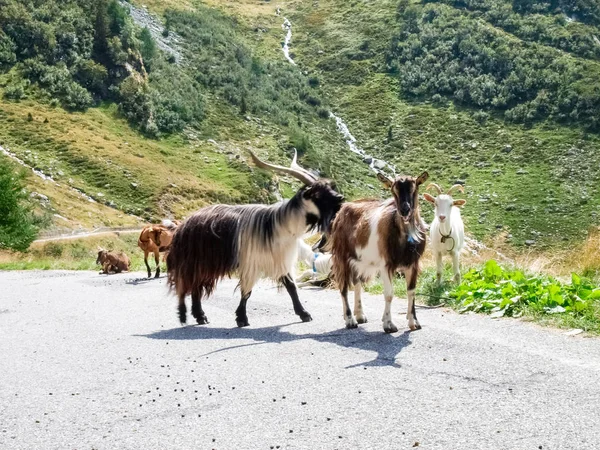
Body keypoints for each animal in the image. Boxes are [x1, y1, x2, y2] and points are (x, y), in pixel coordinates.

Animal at [166, 150, 344, 326]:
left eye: (330, 187)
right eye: (317, 193)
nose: (340, 198)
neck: (281, 224)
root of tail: (183, 225)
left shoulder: (279, 259)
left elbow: (291, 286)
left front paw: (303, 314)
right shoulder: (251, 262)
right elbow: (247, 291)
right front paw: (241, 318)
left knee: (196, 286)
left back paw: (200, 316)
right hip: (197, 261)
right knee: (194, 285)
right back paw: (200, 315)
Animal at [328, 171, 432, 332]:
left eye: (414, 187)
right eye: (393, 190)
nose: (405, 210)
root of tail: (342, 210)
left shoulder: (413, 263)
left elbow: (411, 291)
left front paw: (414, 322)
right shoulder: (386, 264)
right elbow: (389, 294)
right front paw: (389, 324)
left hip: (358, 260)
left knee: (357, 283)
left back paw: (360, 315)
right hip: (341, 256)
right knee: (343, 287)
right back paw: (350, 320)